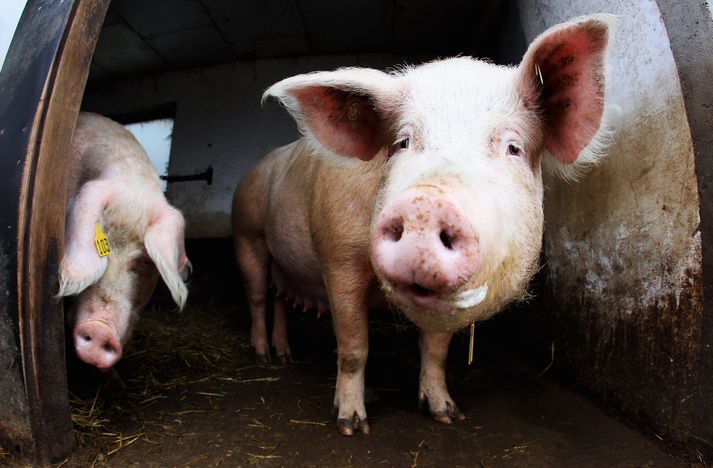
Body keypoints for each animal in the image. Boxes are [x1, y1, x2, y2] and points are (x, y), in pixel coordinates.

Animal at [234, 14, 616, 434]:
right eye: (403, 142)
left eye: (513, 147)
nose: (425, 203)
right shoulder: (338, 257)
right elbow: (354, 346)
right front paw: (352, 425)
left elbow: (435, 350)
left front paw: (447, 413)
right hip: (246, 234)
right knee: (258, 296)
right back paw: (263, 356)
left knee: (279, 299)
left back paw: (284, 355)